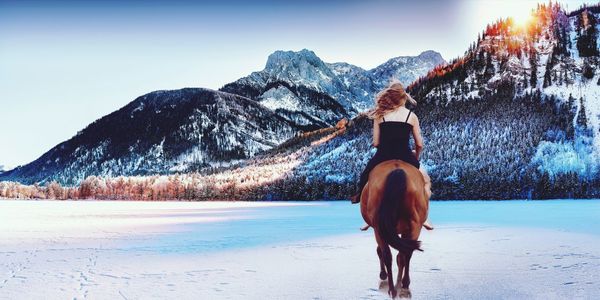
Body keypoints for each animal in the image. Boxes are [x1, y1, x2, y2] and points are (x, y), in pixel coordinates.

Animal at [358, 159, 428, 298]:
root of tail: (397, 170)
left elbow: (387, 253)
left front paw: (386, 276)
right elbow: (400, 256)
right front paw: (399, 281)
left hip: (381, 228)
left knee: (389, 255)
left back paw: (393, 288)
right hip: (413, 226)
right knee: (404, 253)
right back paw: (402, 286)